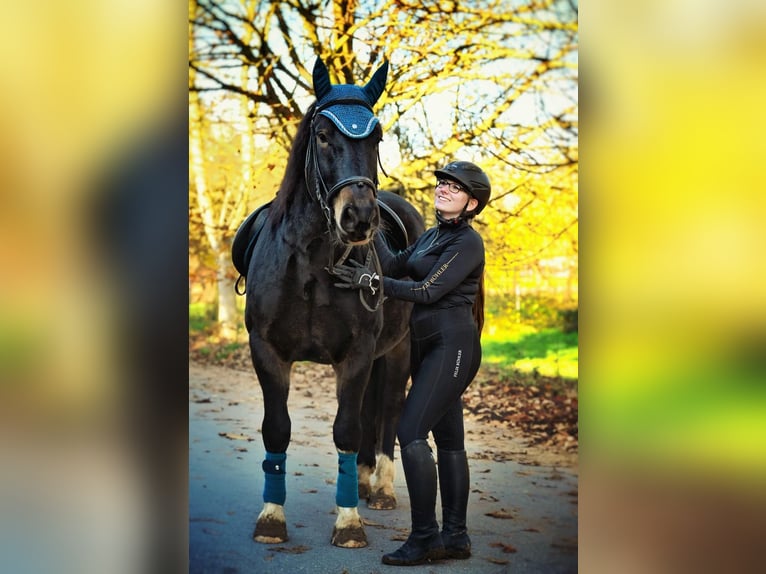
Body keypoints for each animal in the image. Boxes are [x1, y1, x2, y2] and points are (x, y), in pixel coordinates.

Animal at [234, 57, 426, 548]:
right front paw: (272, 517)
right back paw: (363, 481)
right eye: (322, 135)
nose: (358, 218)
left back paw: (380, 489)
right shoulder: (267, 351)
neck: (310, 260)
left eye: (377, 137)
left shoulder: (356, 354)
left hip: (396, 351)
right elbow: (277, 430)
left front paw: (349, 521)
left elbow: (346, 429)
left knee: (388, 412)